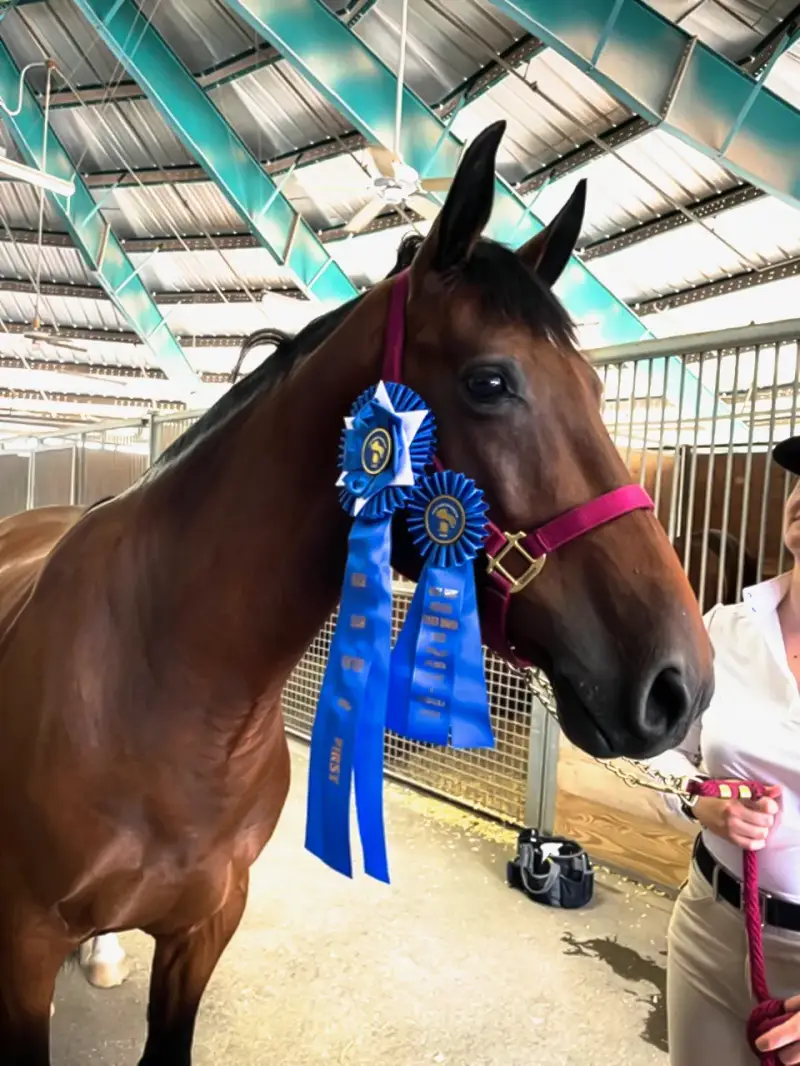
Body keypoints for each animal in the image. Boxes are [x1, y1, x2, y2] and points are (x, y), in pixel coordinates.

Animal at [0, 120, 713, 1065]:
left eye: (598, 389)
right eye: (492, 381)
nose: (681, 683)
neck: (165, 696)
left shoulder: (206, 927)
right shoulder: (24, 947)